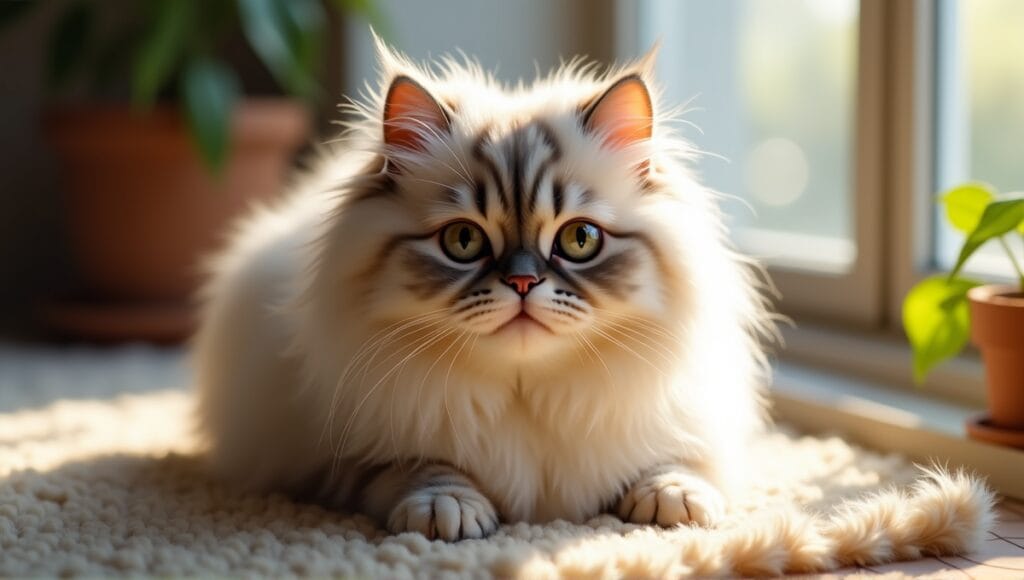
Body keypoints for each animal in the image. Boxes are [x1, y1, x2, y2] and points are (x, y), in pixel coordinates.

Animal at [192, 42, 770, 545]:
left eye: (579, 240)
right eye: (464, 242)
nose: (522, 283)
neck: (524, 398)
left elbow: (679, 463)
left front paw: (672, 500)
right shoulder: (343, 458)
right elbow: (423, 470)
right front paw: (449, 510)